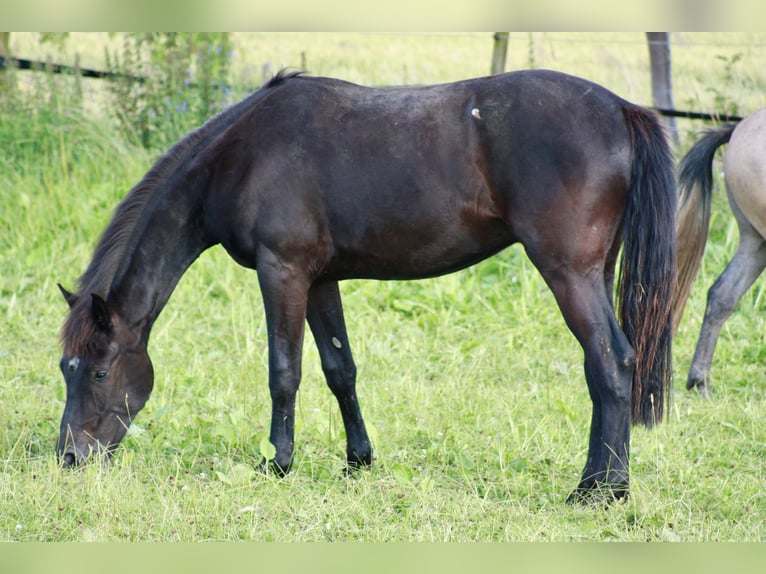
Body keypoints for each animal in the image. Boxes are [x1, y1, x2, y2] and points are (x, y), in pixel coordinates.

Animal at [57, 70, 676, 506]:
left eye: (100, 372)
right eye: (65, 368)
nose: (69, 458)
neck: (242, 155)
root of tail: (622, 110)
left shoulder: (282, 272)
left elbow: (284, 372)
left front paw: (276, 464)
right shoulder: (321, 280)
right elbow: (340, 370)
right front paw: (357, 460)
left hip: (568, 273)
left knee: (611, 363)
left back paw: (600, 493)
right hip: (594, 272)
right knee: (606, 369)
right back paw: (599, 482)